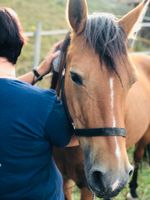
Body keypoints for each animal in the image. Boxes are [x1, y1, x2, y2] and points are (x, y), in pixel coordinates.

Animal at [51, 0, 150, 198]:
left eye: (132, 81)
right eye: (74, 76)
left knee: (137, 157)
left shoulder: (87, 188)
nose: (114, 177)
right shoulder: (65, 179)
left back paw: (133, 190)